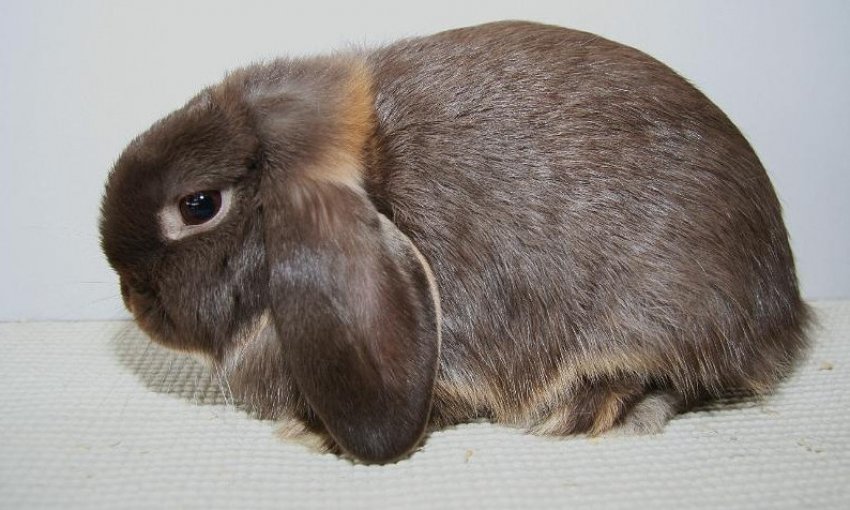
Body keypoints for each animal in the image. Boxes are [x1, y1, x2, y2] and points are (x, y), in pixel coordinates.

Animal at [100, 21, 810, 463]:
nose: (131, 296)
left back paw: (594, 407)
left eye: (198, 206)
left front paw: (313, 434)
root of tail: (787, 313)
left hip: (676, 306)